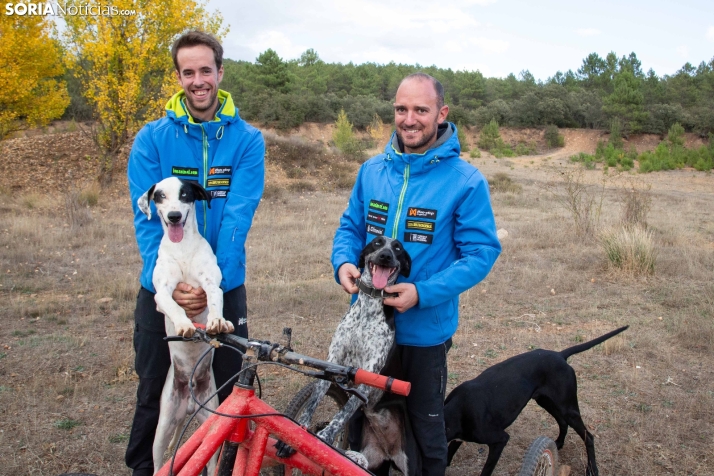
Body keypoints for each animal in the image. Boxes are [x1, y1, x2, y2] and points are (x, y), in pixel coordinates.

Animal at [136, 177, 231, 474]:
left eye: (185, 194)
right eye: (160, 196)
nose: (174, 216)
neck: (183, 249)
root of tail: (188, 405)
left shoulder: (211, 284)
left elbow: (214, 301)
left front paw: (216, 321)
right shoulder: (163, 292)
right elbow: (175, 306)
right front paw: (184, 325)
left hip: (211, 421)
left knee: (210, 462)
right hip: (162, 428)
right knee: (158, 463)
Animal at [278, 235, 412, 468]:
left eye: (397, 248)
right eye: (378, 242)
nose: (386, 256)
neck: (367, 313)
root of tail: (388, 452)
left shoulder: (367, 379)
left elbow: (342, 414)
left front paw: (323, 438)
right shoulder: (331, 364)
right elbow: (312, 403)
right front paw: (300, 432)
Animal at [442, 326, 624, 476]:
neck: (457, 410)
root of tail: (559, 355)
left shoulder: (499, 440)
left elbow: (486, 471)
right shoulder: (457, 440)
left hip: (568, 407)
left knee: (588, 437)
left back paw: (592, 469)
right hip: (545, 401)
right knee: (562, 422)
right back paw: (558, 443)